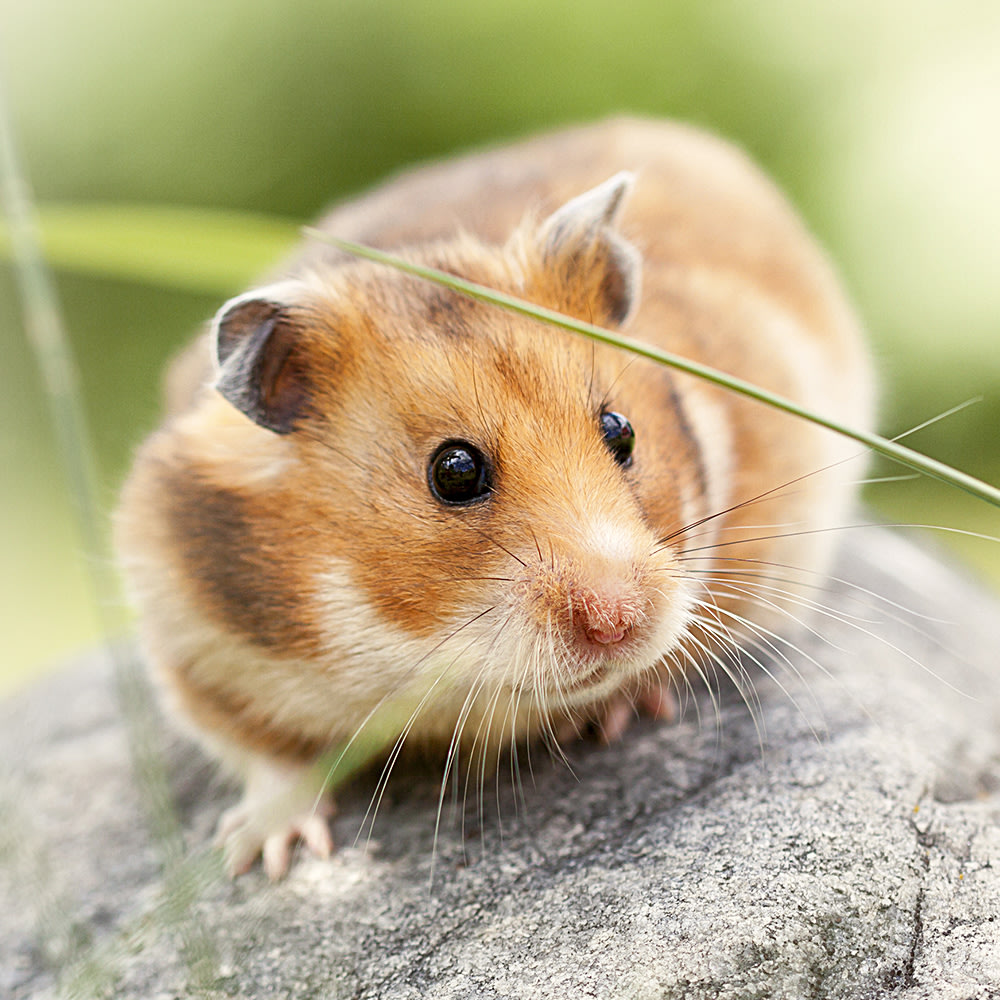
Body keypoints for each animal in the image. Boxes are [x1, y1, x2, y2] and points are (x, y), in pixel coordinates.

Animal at [114, 117, 874, 879]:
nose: (619, 623)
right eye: (453, 471)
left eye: (621, 430)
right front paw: (267, 857)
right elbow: (262, 754)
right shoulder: (189, 636)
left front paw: (618, 712)